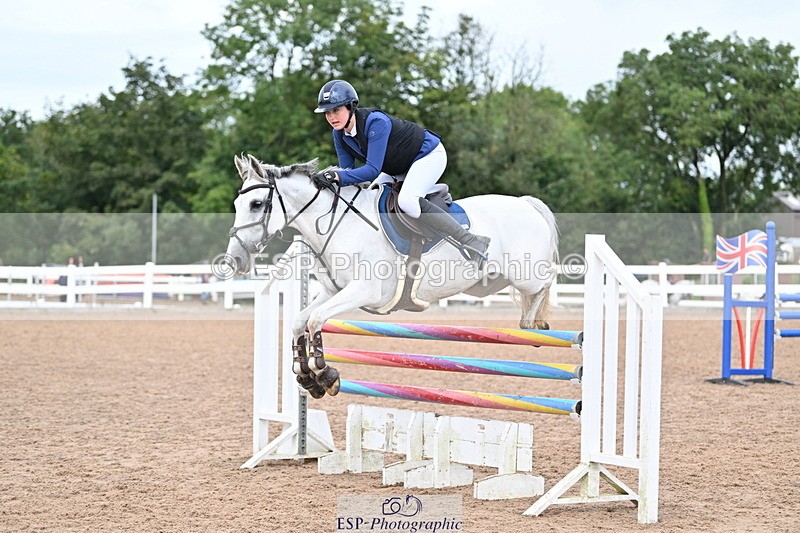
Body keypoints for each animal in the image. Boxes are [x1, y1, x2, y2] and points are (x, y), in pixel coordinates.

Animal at [224, 154, 559, 399]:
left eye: (256, 204)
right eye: (237, 204)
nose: (235, 259)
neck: (336, 224)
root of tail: (526, 202)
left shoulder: (364, 291)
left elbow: (316, 320)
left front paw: (324, 374)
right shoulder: (333, 291)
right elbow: (299, 321)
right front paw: (307, 377)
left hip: (525, 272)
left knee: (546, 281)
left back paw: (533, 323)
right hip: (490, 282)